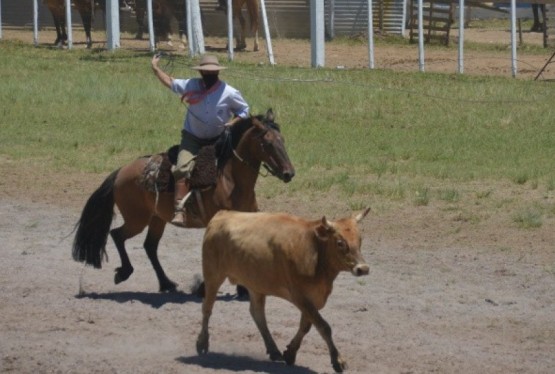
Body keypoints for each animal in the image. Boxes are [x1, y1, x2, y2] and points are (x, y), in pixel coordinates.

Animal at [73, 109, 296, 294]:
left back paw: (166, 283)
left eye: (283, 140)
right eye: (267, 143)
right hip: (137, 219)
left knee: (149, 246)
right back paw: (124, 272)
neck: (229, 179)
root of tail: (121, 171)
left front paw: (242, 289)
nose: (289, 173)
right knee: (117, 235)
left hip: (157, 219)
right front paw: (205, 288)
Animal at [198, 207, 372, 372]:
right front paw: (338, 360)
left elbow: (306, 326)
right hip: (213, 275)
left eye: (360, 239)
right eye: (340, 242)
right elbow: (323, 326)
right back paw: (202, 343)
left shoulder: (312, 298)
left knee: (257, 313)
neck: (315, 251)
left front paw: (290, 353)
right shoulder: (300, 296)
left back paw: (273, 350)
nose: (363, 268)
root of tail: (221, 214)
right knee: (207, 308)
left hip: (256, 284)